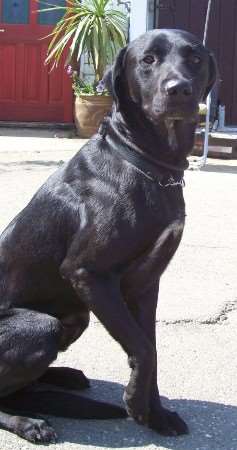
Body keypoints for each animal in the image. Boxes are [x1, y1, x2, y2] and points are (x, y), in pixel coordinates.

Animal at [0, 29, 216, 442]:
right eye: (147, 60)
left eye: (195, 58)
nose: (179, 89)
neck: (147, 163)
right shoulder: (90, 275)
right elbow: (143, 349)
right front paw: (136, 405)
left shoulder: (146, 285)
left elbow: (151, 346)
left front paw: (155, 415)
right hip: (41, 324)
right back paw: (28, 421)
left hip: (76, 316)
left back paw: (64, 377)